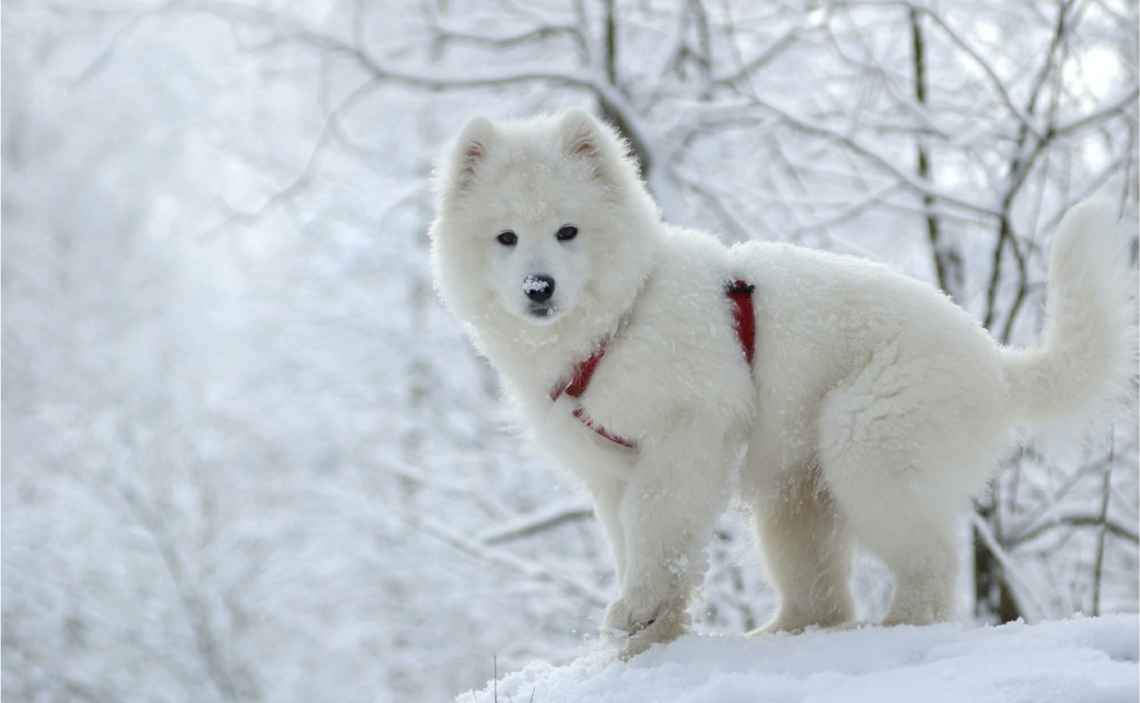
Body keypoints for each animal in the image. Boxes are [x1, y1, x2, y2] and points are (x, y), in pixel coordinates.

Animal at [426, 109, 1130, 656]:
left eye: (568, 231)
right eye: (506, 237)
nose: (537, 288)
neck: (619, 322)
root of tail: (994, 359)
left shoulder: (689, 433)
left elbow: (659, 528)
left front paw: (640, 612)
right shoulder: (609, 469)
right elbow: (634, 540)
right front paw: (648, 634)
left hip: (870, 448)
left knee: (930, 565)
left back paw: (897, 629)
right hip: (797, 497)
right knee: (824, 598)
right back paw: (780, 634)